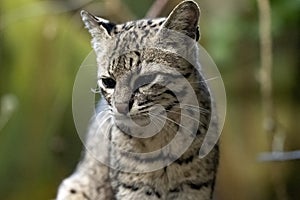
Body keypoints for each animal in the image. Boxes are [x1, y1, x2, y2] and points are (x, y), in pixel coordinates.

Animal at [56, 0, 219, 199]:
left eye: (145, 80)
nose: (120, 107)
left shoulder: (195, 187)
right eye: (108, 82)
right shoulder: (134, 189)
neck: (162, 136)